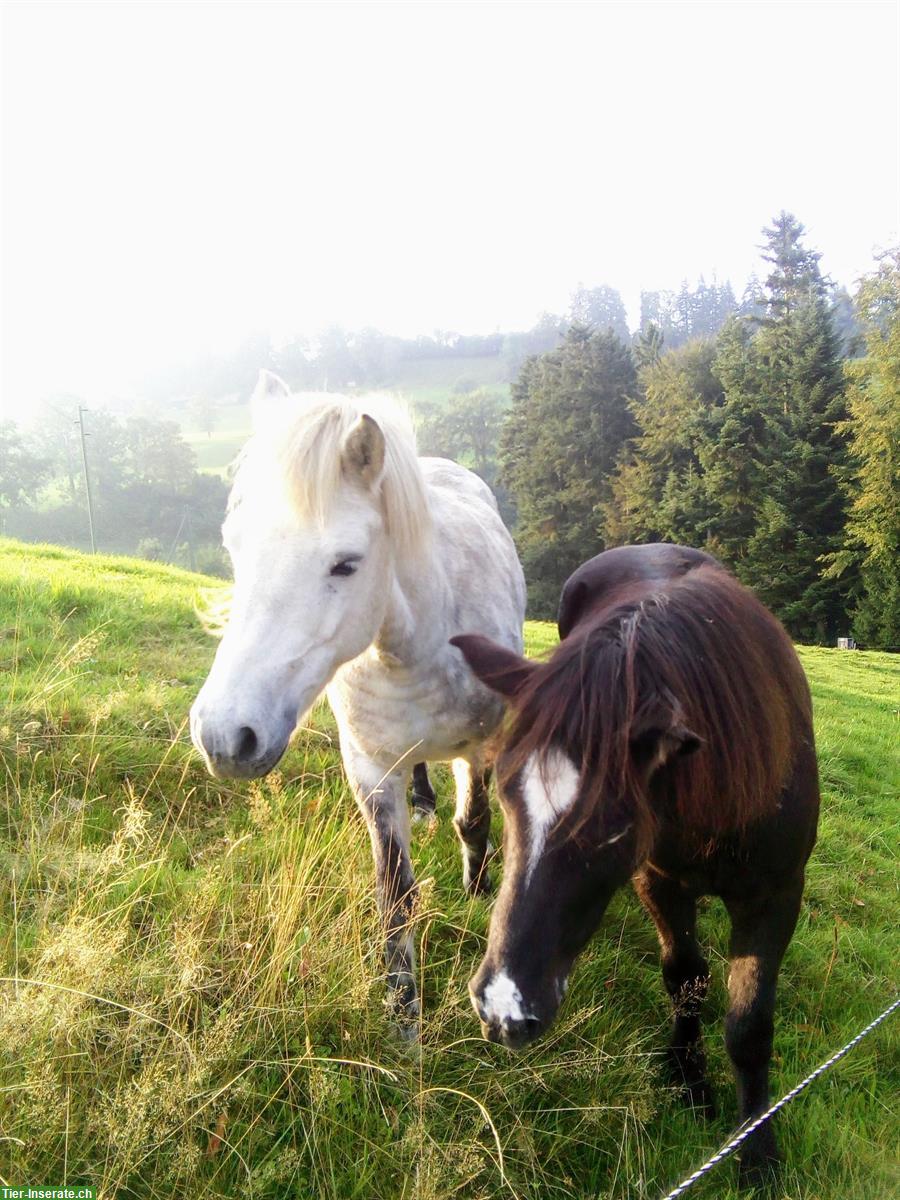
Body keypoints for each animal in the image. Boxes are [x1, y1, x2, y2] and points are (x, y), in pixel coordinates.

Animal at [192, 372, 528, 1032]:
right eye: (234, 546)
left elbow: (474, 822)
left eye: (345, 564)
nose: (224, 736)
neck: (422, 647)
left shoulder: (481, 746)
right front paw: (403, 1021)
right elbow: (394, 894)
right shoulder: (372, 769)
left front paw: (478, 892)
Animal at [453, 549, 820, 1185]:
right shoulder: (661, 882)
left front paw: (757, 1152)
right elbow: (686, 979)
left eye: (616, 825)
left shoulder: (776, 894)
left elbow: (749, 1024)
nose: (504, 1009)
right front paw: (689, 1078)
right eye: (504, 792)